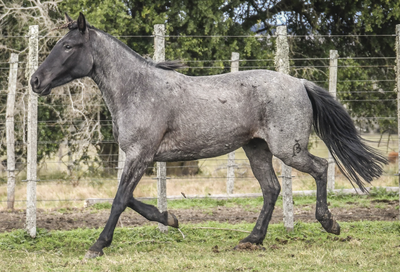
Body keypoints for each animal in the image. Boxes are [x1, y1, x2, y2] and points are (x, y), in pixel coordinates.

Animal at [31, 13, 388, 260]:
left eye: (67, 46)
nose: (36, 81)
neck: (137, 89)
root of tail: (300, 82)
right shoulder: (138, 157)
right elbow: (128, 198)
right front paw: (171, 219)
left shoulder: (140, 155)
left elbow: (120, 200)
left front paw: (97, 246)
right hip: (256, 149)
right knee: (272, 189)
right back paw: (251, 239)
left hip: (289, 149)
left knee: (320, 168)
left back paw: (329, 223)